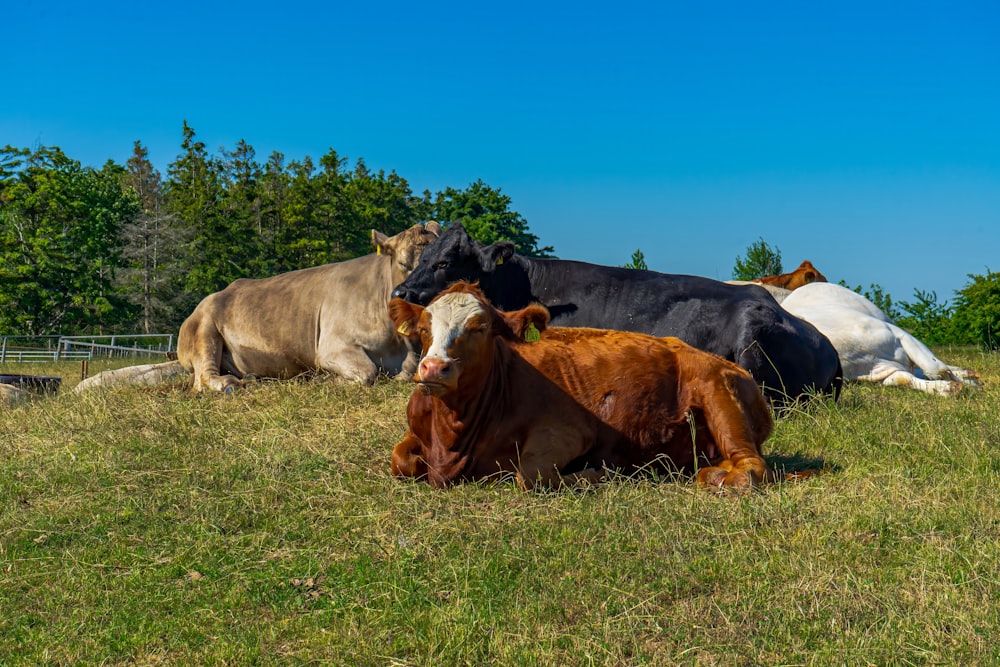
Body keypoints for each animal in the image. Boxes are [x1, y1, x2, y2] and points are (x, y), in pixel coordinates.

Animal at [177, 222, 442, 394]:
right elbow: (368, 373)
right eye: (403, 263)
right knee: (203, 378)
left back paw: (253, 379)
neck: (397, 342)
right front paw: (327, 380)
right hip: (204, 331)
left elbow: (409, 371)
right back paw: (230, 384)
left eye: (442, 264)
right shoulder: (332, 347)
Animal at [388, 280, 772, 494]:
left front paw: (592, 475)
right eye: (423, 329)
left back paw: (722, 478)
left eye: (480, 328)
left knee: (752, 467)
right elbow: (399, 460)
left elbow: (530, 475)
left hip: (717, 391)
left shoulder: (570, 431)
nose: (433, 367)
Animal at [780, 282, 976, 396]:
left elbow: (937, 369)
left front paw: (969, 383)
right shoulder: (878, 371)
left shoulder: (898, 333)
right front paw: (948, 388)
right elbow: (904, 379)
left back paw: (967, 373)